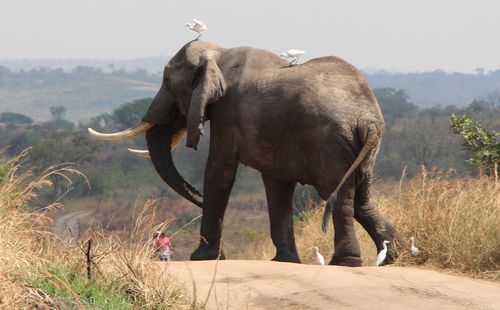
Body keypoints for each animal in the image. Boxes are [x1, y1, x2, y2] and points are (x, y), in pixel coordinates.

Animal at [90, 39, 400, 266]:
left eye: (167, 81)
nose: (198, 200)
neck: (218, 52)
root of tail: (367, 119)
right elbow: (276, 185)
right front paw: (284, 261)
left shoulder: (228, 113)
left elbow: (219, 172)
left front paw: (203, 258)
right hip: (358, 148)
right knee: (360, 198)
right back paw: (392, 257)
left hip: (329, 142)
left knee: (339, 196)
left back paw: (346, 262)